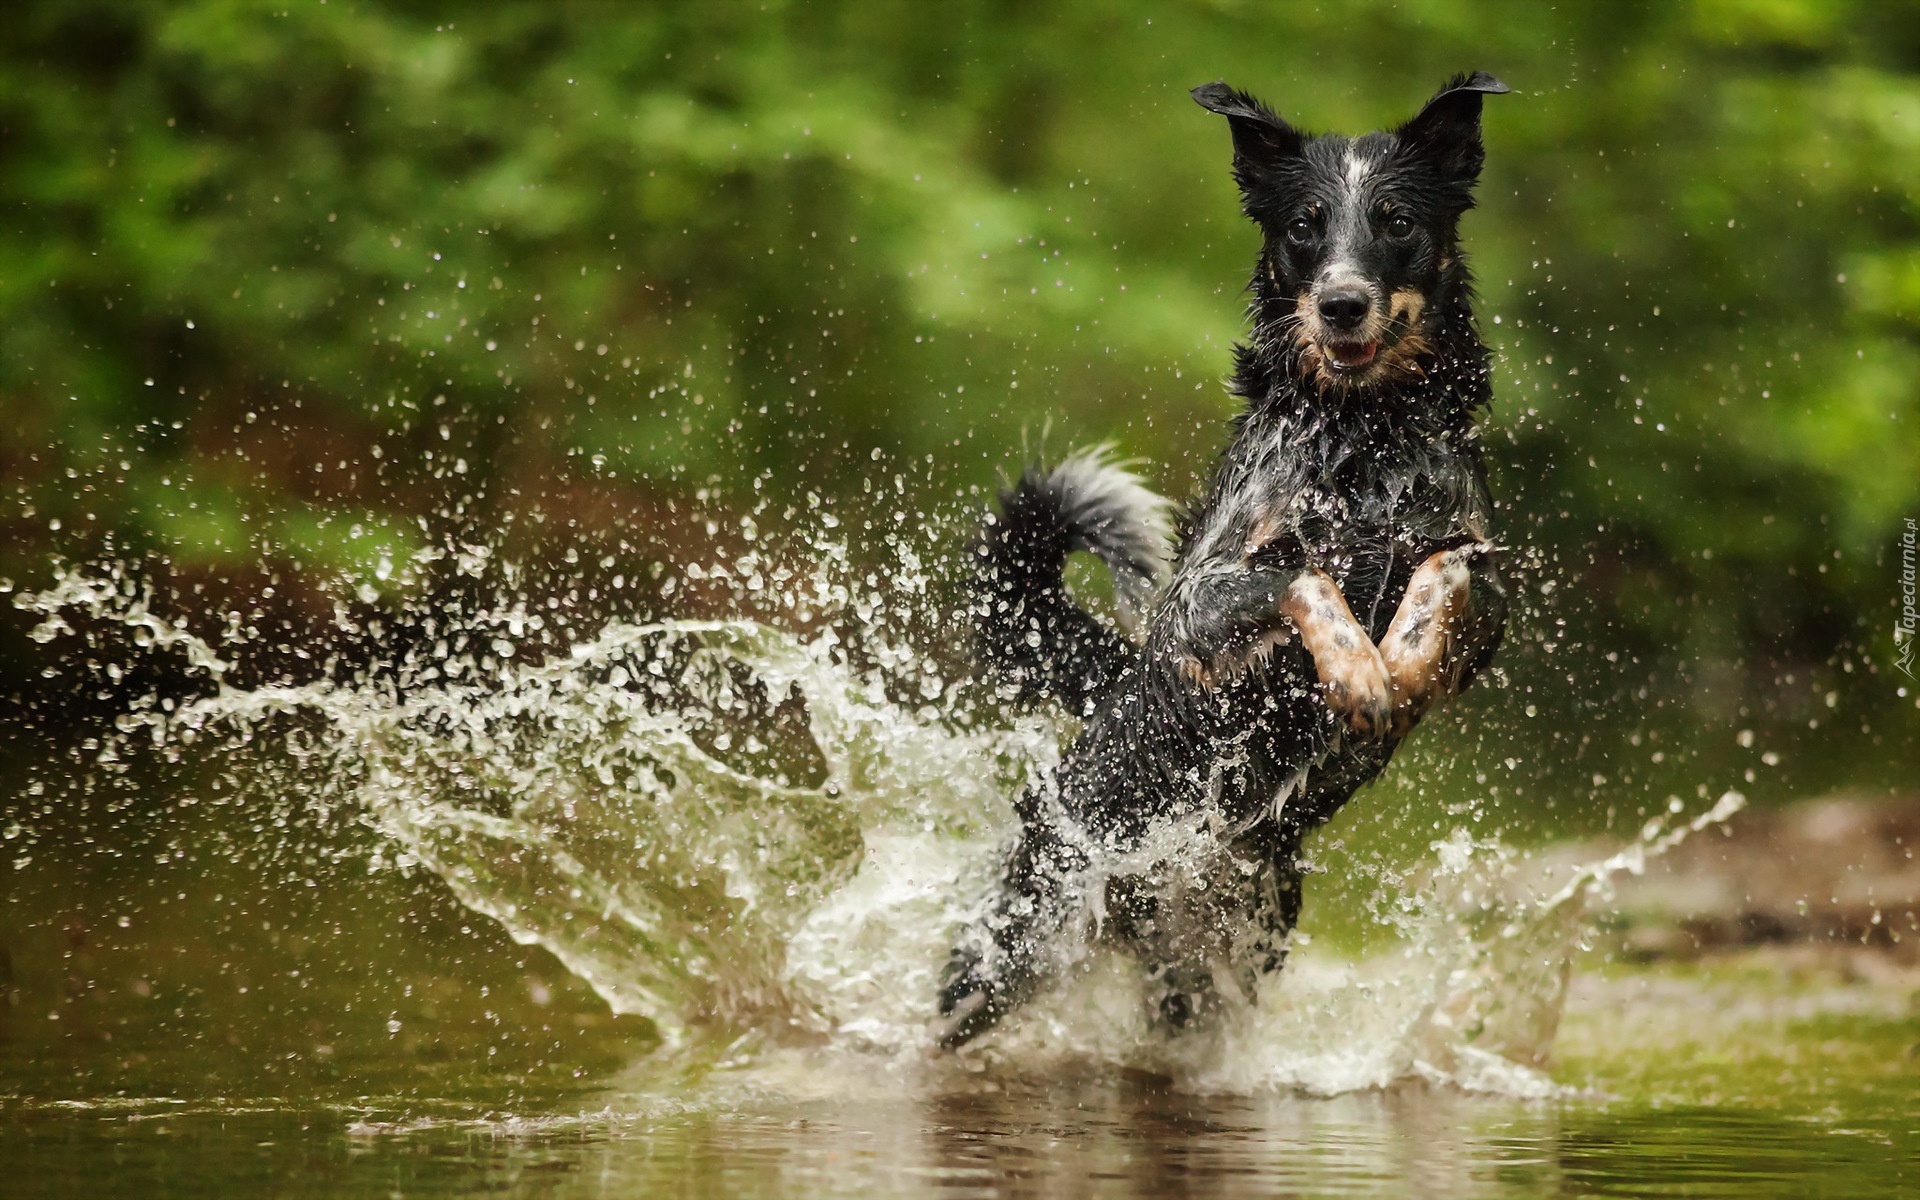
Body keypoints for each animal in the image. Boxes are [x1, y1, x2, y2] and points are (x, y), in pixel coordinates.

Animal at [933, 72, 1512, 1044]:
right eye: (1305, 225)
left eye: (1396, 219)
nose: (1341, 303)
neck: (1366, 440)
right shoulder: (1196, 608)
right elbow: (1302, 576)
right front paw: (1361, 672)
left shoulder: (1488, 596)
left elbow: (1444, 570)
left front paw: (1398, 660)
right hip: (1012, 945)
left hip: (1220, 965)